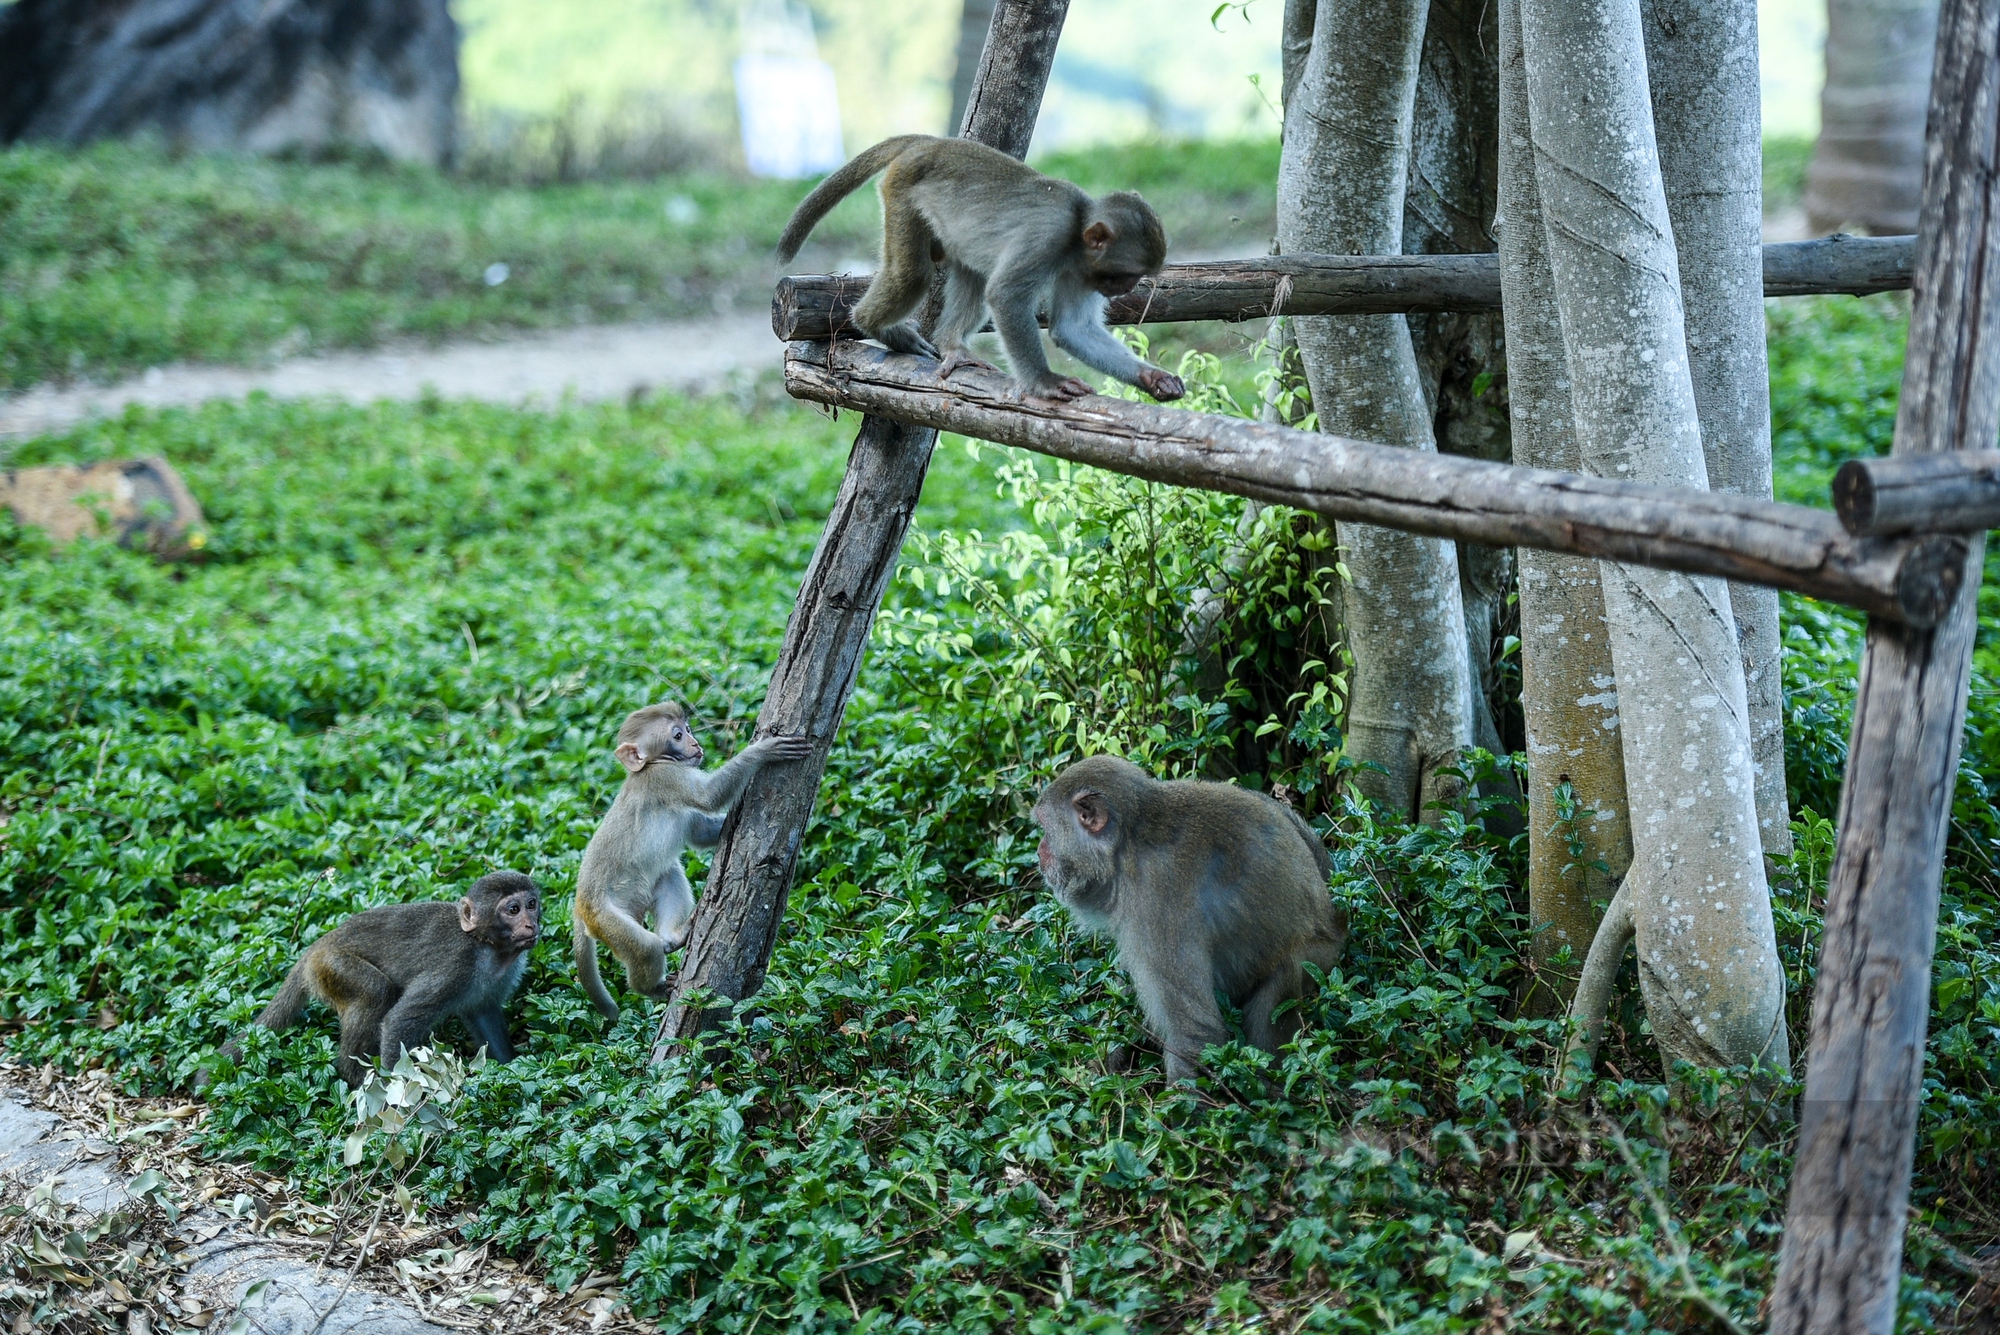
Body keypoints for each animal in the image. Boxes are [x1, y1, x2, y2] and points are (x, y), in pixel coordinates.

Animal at [1032, 755, 1344, 1079]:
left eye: (1045, 827)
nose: (1040, 852)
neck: (1128, 844)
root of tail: (1334, 917)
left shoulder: (1157, 900)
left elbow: (1194, 1031)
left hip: (1316, 959)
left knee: (1279, 988)